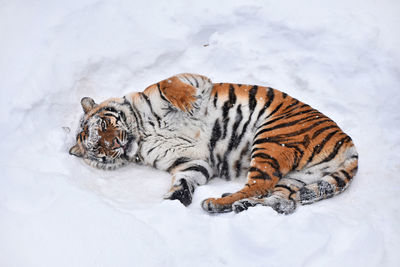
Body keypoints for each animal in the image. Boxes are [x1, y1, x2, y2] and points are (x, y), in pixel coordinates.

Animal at [69, 73, 360, 216]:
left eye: (104, 126)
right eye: (98, 149)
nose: (117, 144)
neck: (141, 135)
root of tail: (348, 143)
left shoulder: (189, 80)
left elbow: (169, 84)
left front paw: (187, 101)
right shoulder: (190, 161)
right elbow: (185, 180)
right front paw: (175, 200)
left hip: (273, 137)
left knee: (261, 185)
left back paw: (218, 203)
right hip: (297, 176)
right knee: (279, 198)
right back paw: (232, 205)